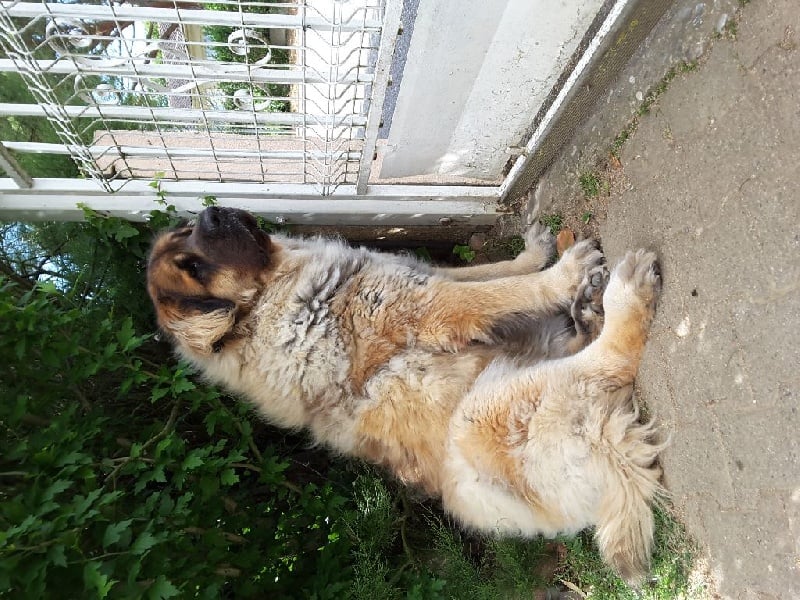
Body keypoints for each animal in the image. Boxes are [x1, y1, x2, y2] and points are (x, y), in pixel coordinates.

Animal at [147, 206, 665, 584]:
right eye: (192, 268)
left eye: (189, 233)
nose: (212, 211)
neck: (265, 300)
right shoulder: (426, 305)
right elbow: (498, 292)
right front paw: (562, 272)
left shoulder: (417, 275)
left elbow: (486, 273)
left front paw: (533, 254)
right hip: (485, 412)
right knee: (610, 361)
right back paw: (625, 292)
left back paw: (585, 313)